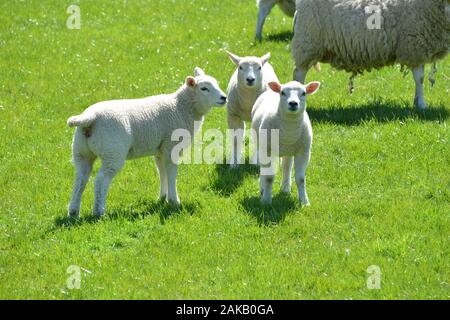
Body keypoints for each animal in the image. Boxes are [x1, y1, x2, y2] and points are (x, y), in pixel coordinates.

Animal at [66, 67, 229, 218]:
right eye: (204, 88)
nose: (224, 98)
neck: (181, 108)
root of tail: (90, 117)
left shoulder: (160, 149)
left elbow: (162, 171)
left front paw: (162, 198)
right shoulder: (171, 146)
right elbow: (171, 173)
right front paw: (174, 201)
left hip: (81, 151)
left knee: (80, 178)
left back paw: (73, 212)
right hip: (112, 152)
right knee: (100, 180)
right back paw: (99, 212)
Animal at [292, 0, 450, 109]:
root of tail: (299, 8)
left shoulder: (417, 50)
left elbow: (419, 78)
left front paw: (417, 102)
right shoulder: (413, 46)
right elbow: (420, 79)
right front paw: (422, 105)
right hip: (307, 43)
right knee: (299, 73)